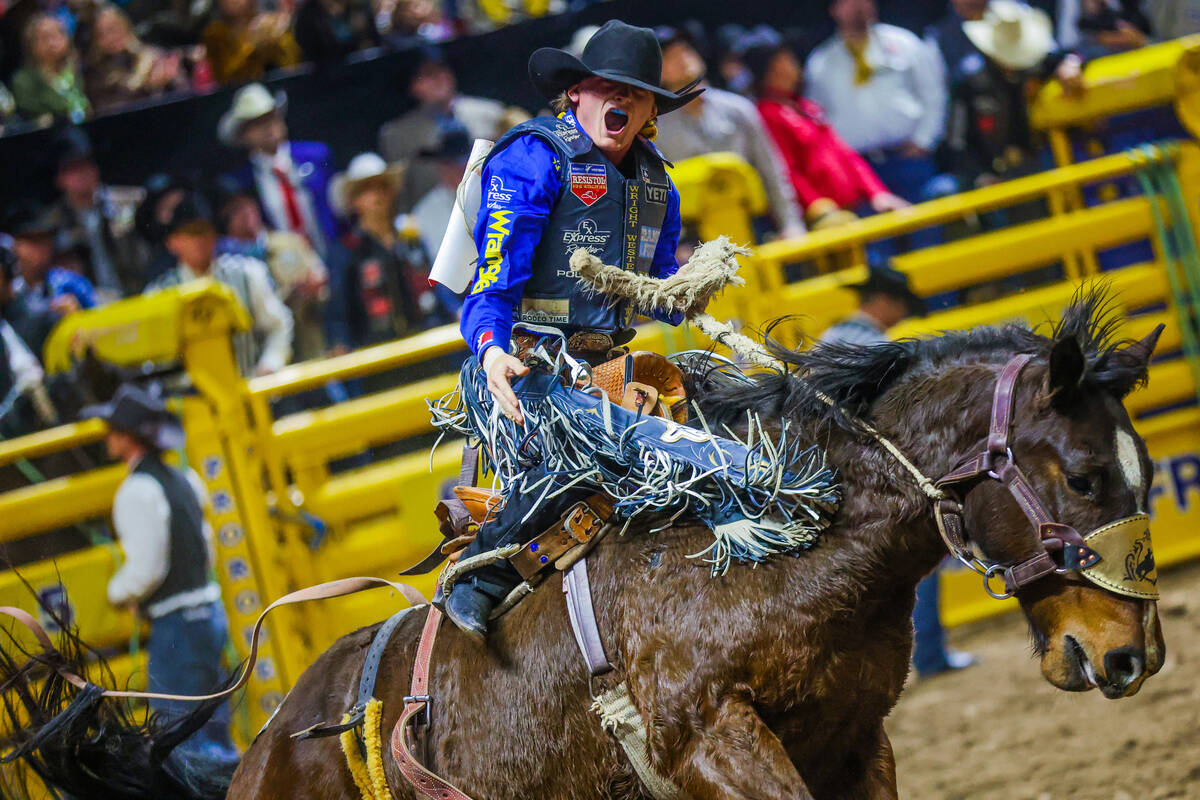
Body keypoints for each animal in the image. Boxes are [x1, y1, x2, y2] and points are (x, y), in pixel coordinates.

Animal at [0, 291, 1161, 796]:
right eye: (1085, 475)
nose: (1132, 654)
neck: (778, 553)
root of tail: (266, 742)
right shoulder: (706, 742)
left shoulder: (851, 743)